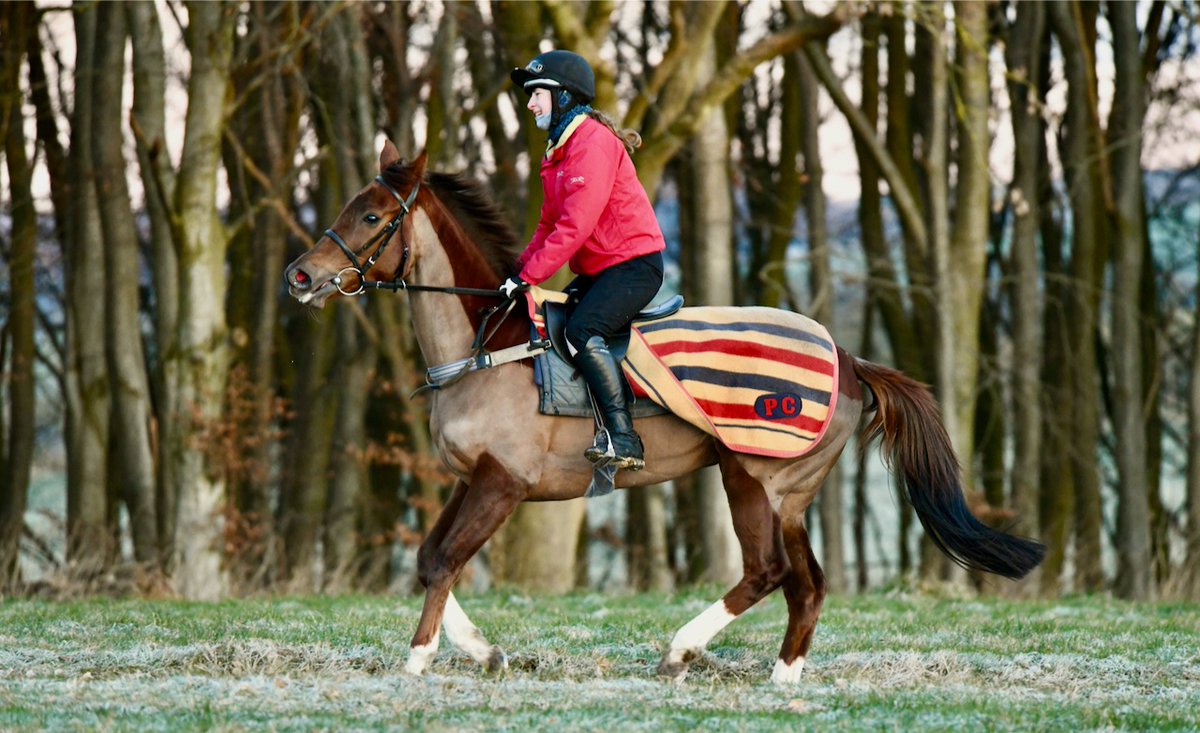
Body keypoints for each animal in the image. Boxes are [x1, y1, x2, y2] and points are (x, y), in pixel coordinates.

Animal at [280, 143, 1041, 686]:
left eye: (371, 215)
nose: (301, 277)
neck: (487, 343)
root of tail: (850, 359)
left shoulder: (503, 483)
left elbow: (442, 561)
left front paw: (420, 656)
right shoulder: (472, 479)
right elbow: (427, 557)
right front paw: (480, 651)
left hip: (753, 478)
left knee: (768, 571)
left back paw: (680, 651)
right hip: (788, 496)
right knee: (807, 584)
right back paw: (782, 675)